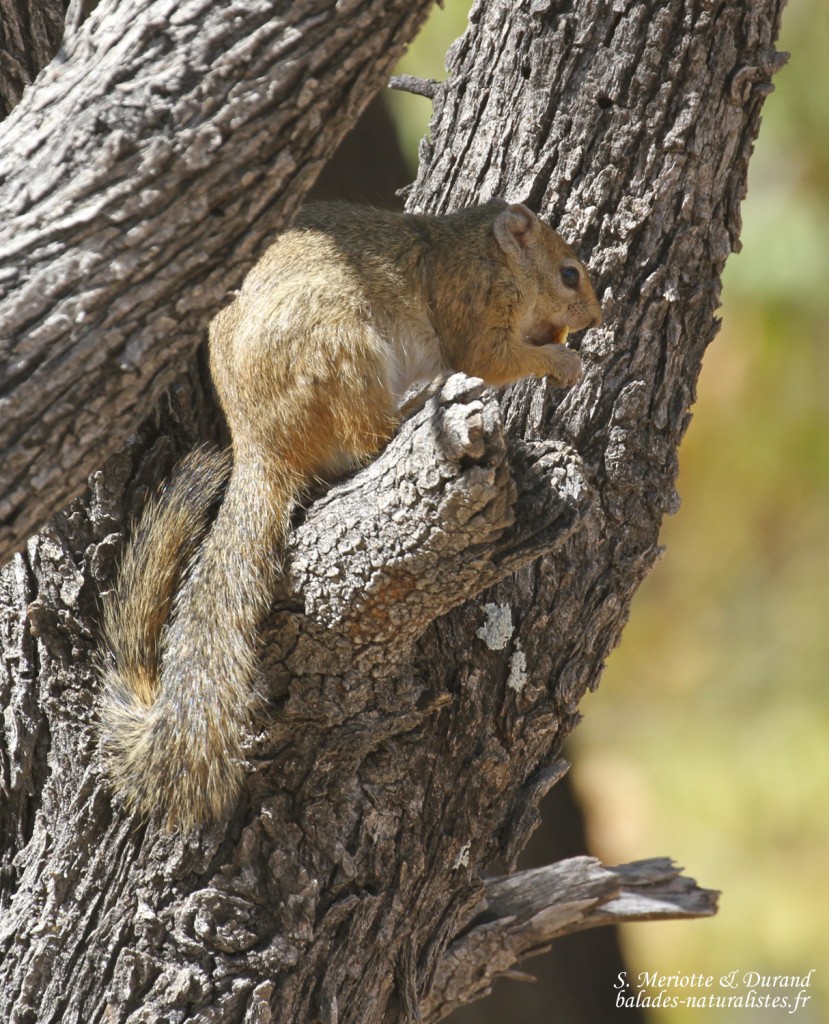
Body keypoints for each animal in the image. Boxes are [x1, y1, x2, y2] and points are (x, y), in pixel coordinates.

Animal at [99, 199, 602, 831]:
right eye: (568, 274)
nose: (594, 318)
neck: (481, 249)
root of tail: (261, 446)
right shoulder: (471, 301)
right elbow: (489, 357)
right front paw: (562, 360)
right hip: (342, 349)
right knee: (368, 440)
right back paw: (416, 403)